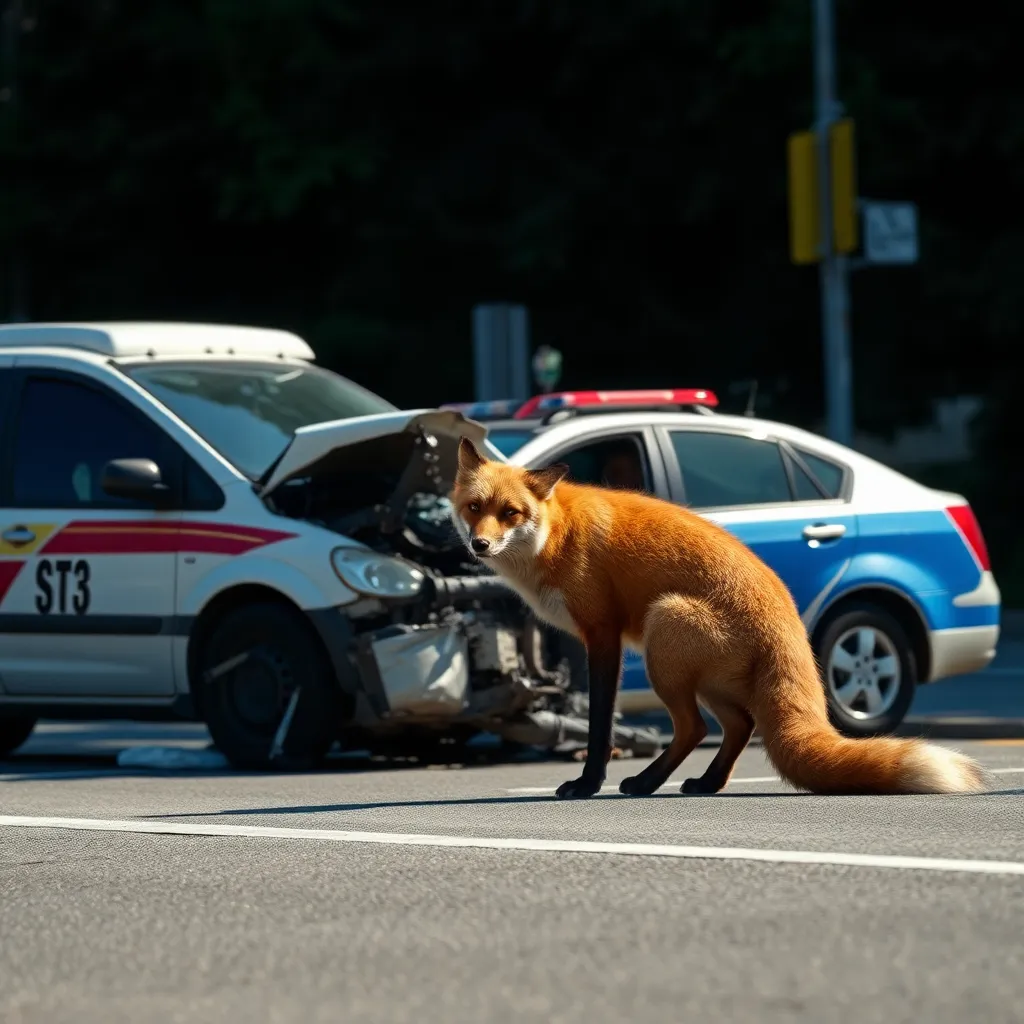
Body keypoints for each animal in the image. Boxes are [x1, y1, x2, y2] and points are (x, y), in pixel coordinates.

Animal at [450, 436, 989, 800]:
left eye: (511, 513)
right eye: (474, 507)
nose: (479, 545)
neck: (557, 534)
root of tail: (789, 623)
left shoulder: (602, 635)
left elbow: (600, 724)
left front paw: (587, 783)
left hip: (663, 632)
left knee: (694, 728)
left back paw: (647, 782)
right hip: (703, 678)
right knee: (740, 726)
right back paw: (707, 782)